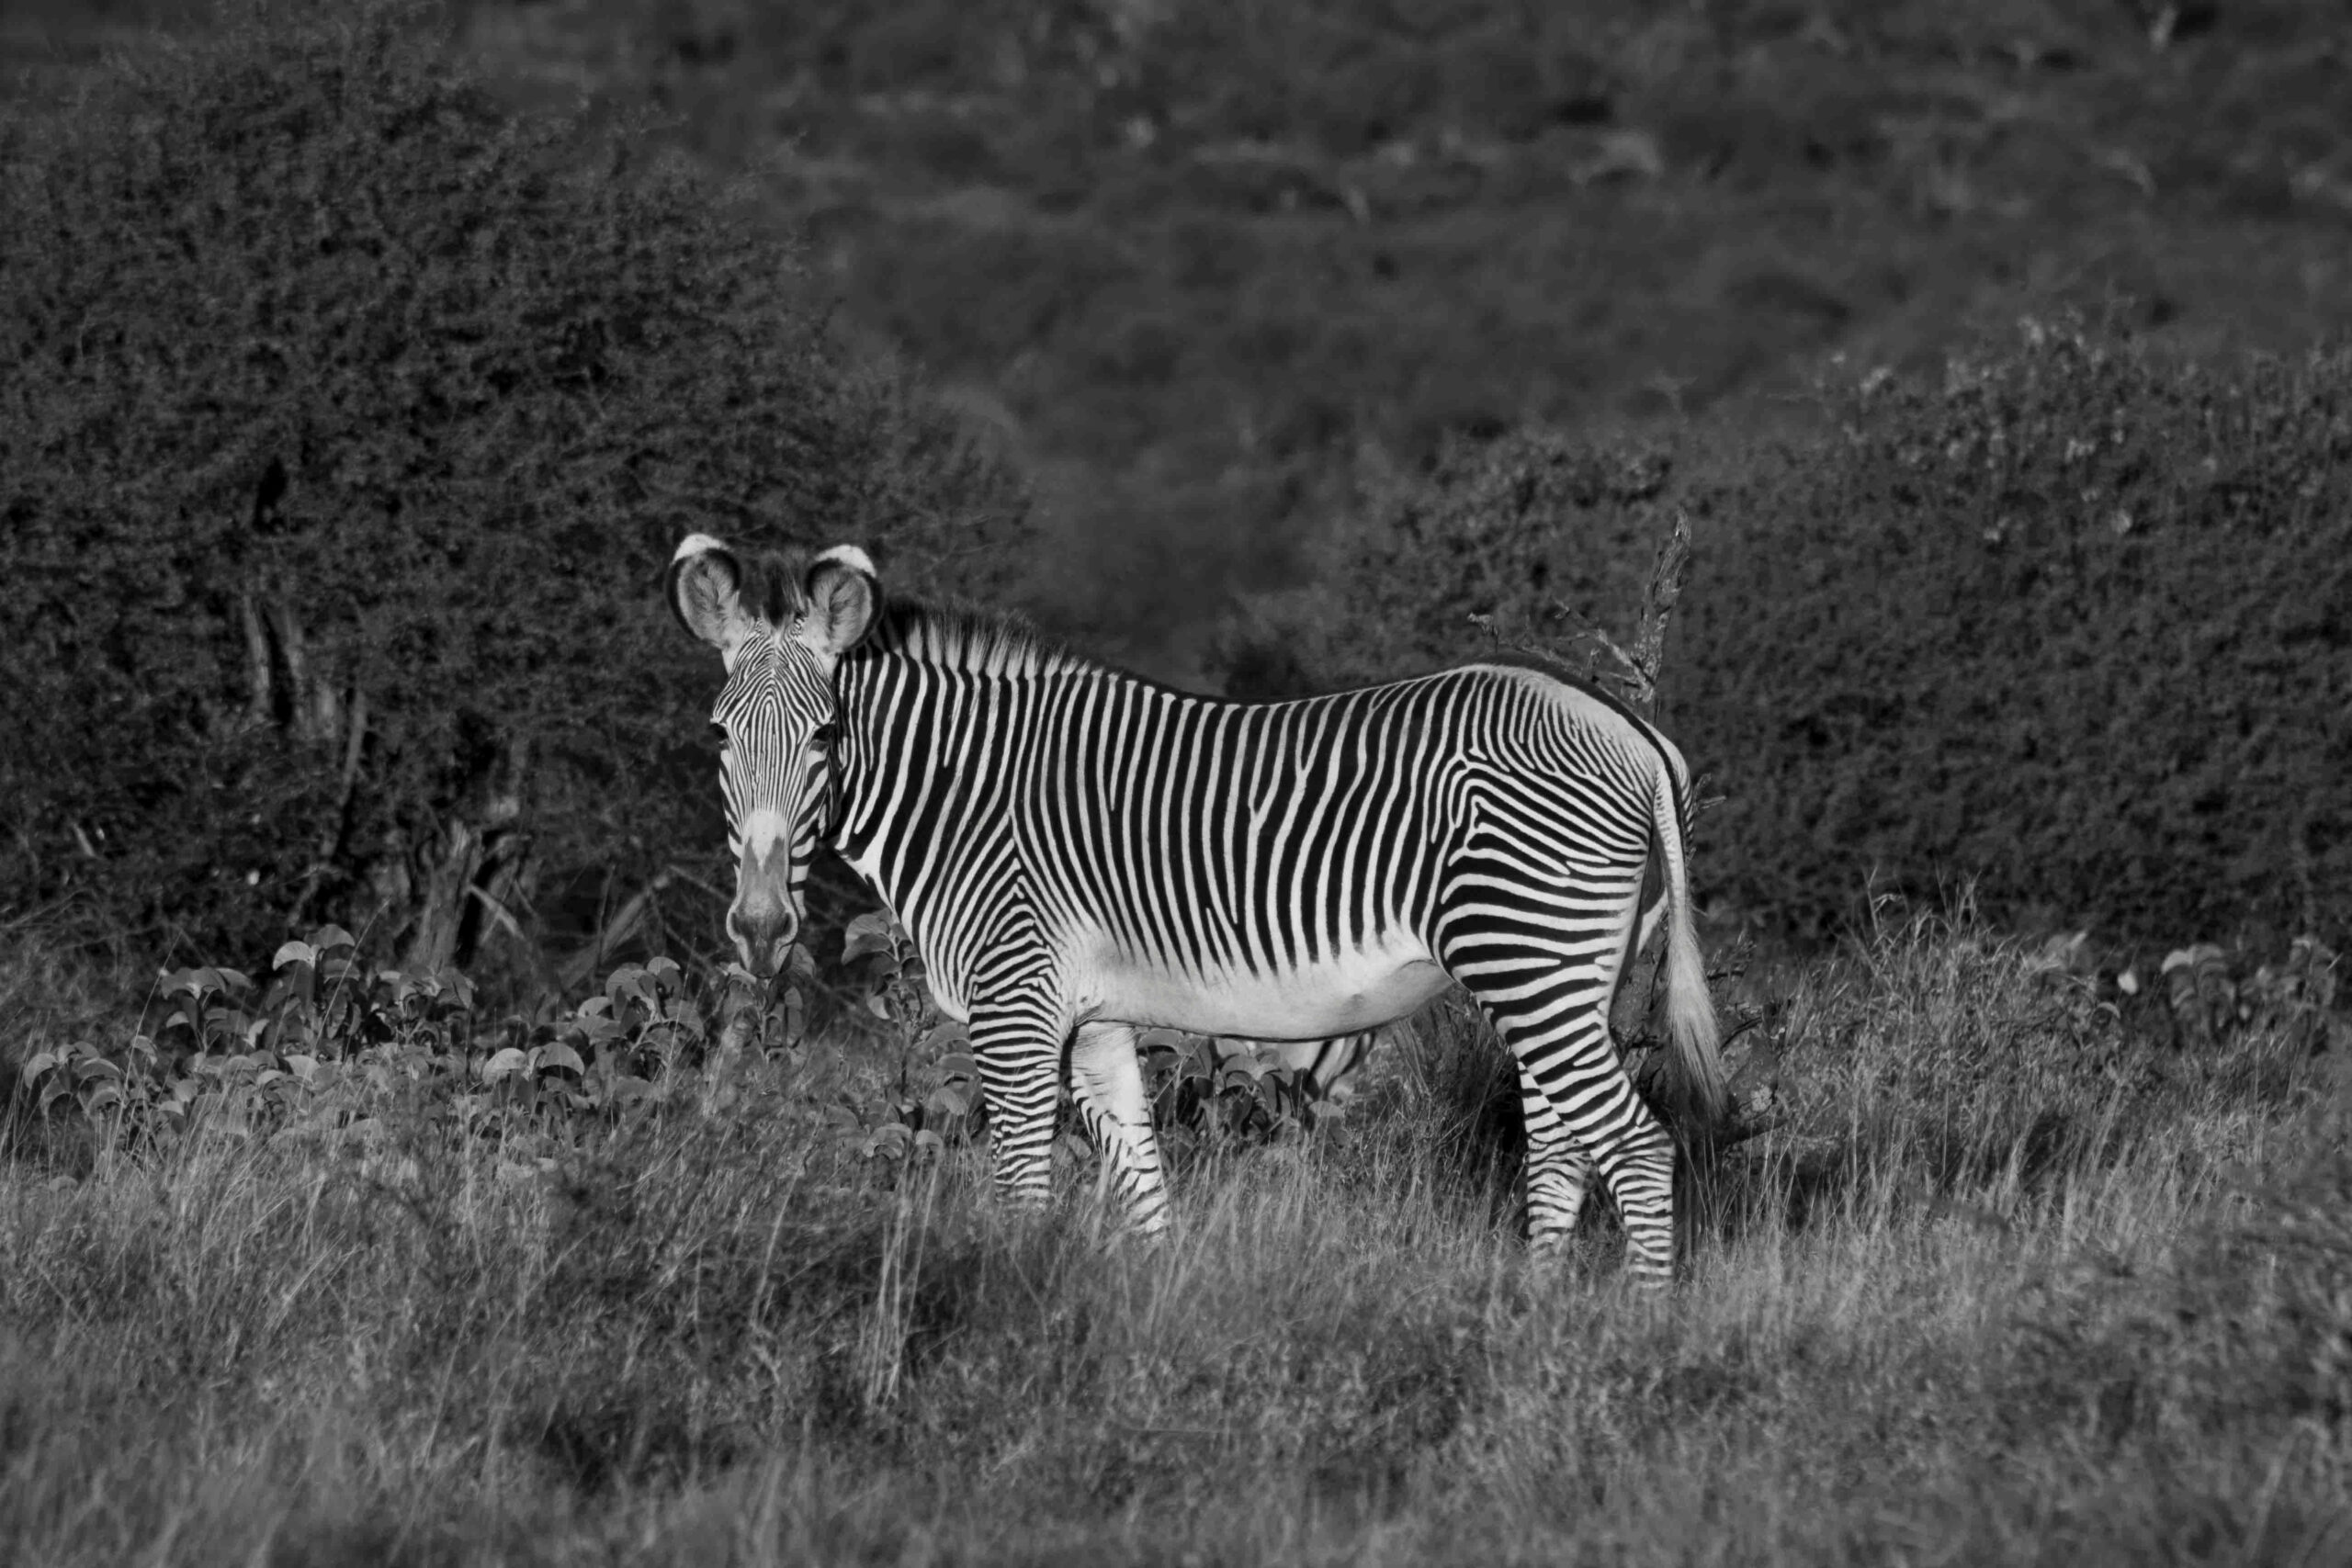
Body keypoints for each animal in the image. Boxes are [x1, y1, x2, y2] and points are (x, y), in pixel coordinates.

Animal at [669, 537, 1725, 1281]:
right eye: (718, 736)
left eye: (825, 736)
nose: (759, 929)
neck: (965, 794)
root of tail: (1631, 731)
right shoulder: (1093, 1021)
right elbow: (1144, 1195)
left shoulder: (1015, 1009)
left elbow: (1020, 1192)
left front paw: (1001, 1309)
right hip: (1562, 973)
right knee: (1562, 1152)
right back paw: (1536, 1319)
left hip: (1526, 956)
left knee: (1635, 1148)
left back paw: (1633, 1334)